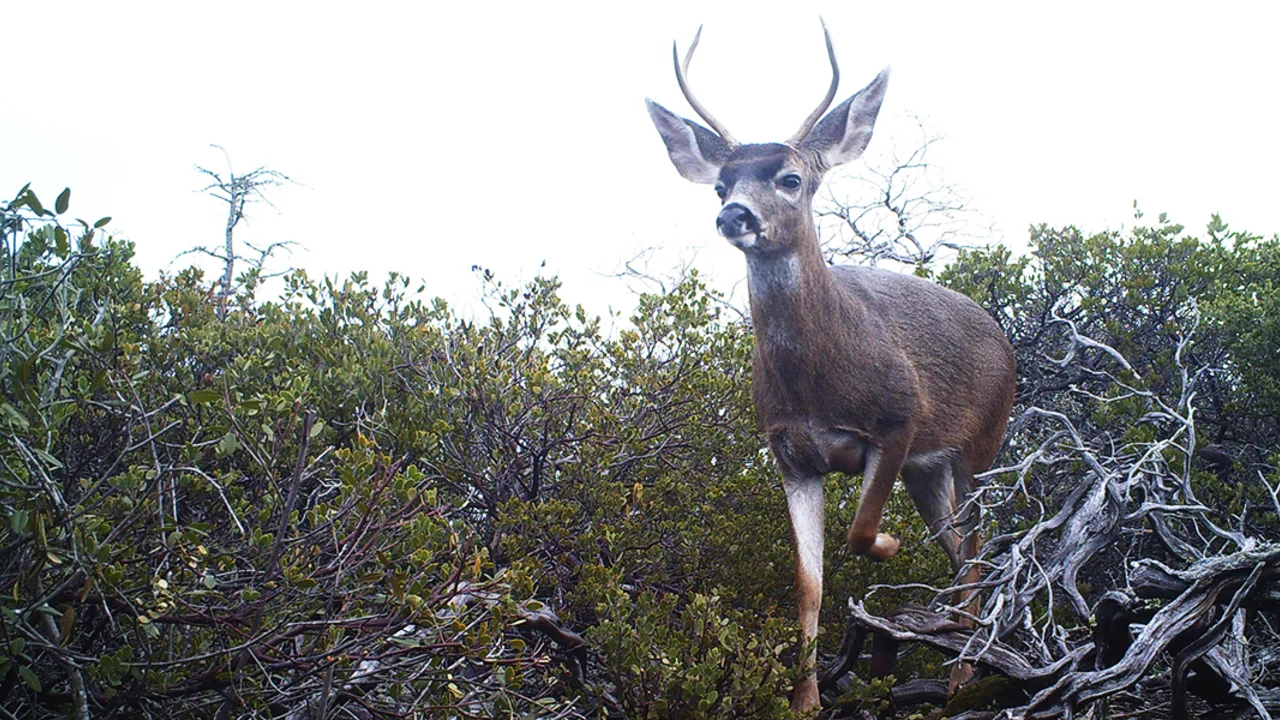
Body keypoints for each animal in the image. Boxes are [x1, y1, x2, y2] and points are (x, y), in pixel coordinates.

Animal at [645, 24, 1017, 712]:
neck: (818, 382)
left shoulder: (899, 420)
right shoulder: (790, 454)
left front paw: (889, 548)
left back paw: (961, 677)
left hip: (982, 442)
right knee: (959, 552)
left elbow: (860, 532)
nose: (734, 215)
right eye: (721, 185)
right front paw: (804, 700)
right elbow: (807, 582)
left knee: (979, 553)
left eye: (791, 178)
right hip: (929, 471)